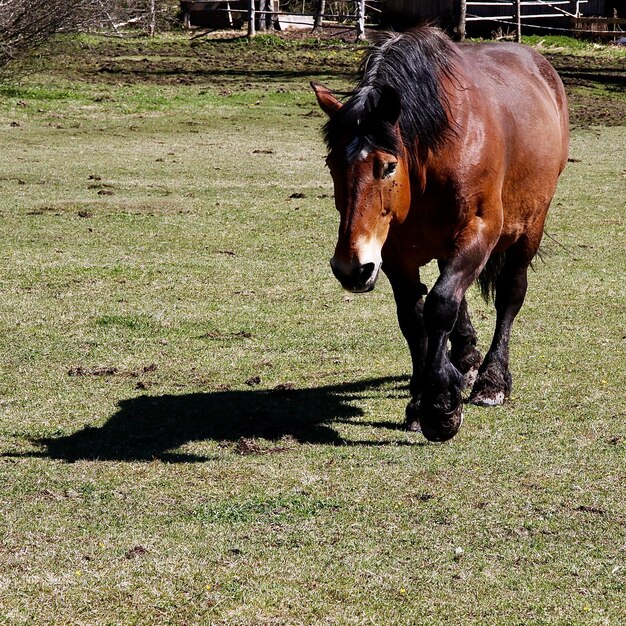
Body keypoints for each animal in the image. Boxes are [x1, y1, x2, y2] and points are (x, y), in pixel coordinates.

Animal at [310, 26, 568, 442]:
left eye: (387, 166)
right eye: (332, 163)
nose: (352, 268)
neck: (433, 154)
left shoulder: (480, 231)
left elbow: (441, 303)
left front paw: (442, 408)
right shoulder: (394, 254)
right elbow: (415, 317)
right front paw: (424, 399)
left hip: (529, 227)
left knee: (509, 294)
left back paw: (492, 380)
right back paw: (463, 359)